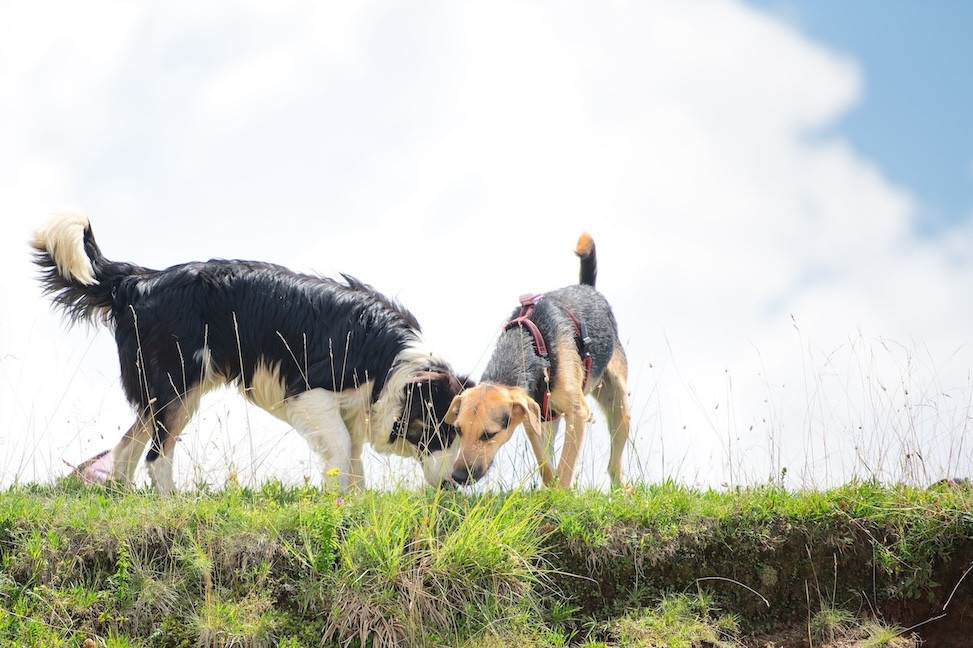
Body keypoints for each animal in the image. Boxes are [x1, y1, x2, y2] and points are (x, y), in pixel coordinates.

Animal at [33, 210, 468, 494]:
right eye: (442, 430)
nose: (460, 481)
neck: (392, 361)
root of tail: (140, 281)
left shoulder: (351, 409)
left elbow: (354, 462)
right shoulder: (310, 391)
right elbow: (343, 453)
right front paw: (338, 507)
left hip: (166, 392)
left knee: (128, 448)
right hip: (177, 386)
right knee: (156, 456)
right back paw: (169, 504)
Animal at [446, 233, 632, 486]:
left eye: (489, 434)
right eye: (458, 430)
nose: (457, 476)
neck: (530, 347)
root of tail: (587, 288)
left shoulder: (577, 414)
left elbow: (565, 467)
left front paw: (561, 492)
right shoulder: (532, 417)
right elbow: (545, 464)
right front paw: (550, 485)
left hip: (619, 405)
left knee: (614, 465)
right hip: (551, 417)